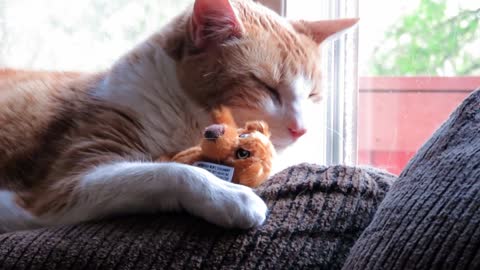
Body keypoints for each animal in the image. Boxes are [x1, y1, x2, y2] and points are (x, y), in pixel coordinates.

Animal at [0, 0, 356, 232]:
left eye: (313, 95)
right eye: (267, 88)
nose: (301, 129)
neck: (185, 120)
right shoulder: (59, 189)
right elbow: (171, 172)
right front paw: (229, 196)